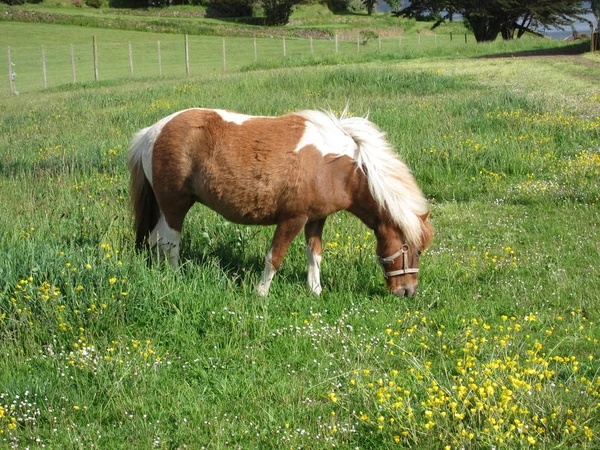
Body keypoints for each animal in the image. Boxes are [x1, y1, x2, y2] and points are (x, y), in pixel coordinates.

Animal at [129, 108, 434, 298]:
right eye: (412, 249)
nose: (408, 292)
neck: (338, 167)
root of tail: (153, 131)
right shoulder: (292, 219)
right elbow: (274, 257)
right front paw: (260, 294)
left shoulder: (316, 219)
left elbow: (315, 255)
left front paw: (315, 291)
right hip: (174, 205)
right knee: (170, 243)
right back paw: (174, 276)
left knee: (155, 239)